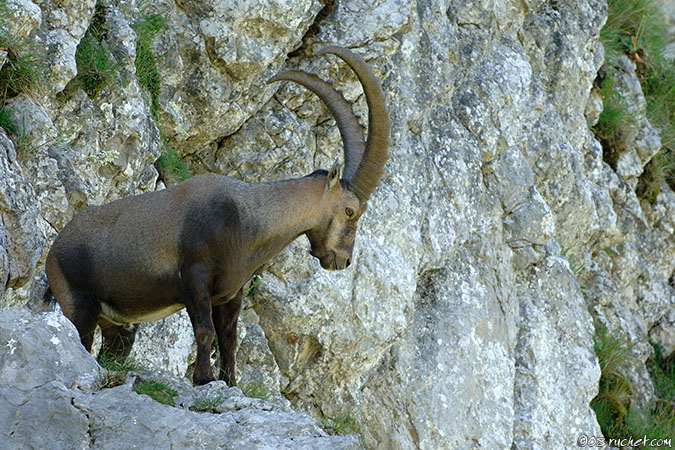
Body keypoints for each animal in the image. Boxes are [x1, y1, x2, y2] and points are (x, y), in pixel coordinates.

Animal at [44, 46, 391, 386]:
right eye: (350, 210)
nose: (342, 259)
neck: (246, 218)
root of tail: (54, 250)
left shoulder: (230, 294)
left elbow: (228, 339)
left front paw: (230, 382)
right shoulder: (195, 279)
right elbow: (204, 330)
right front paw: (204, 378)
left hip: (119, 324)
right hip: (78, 304)